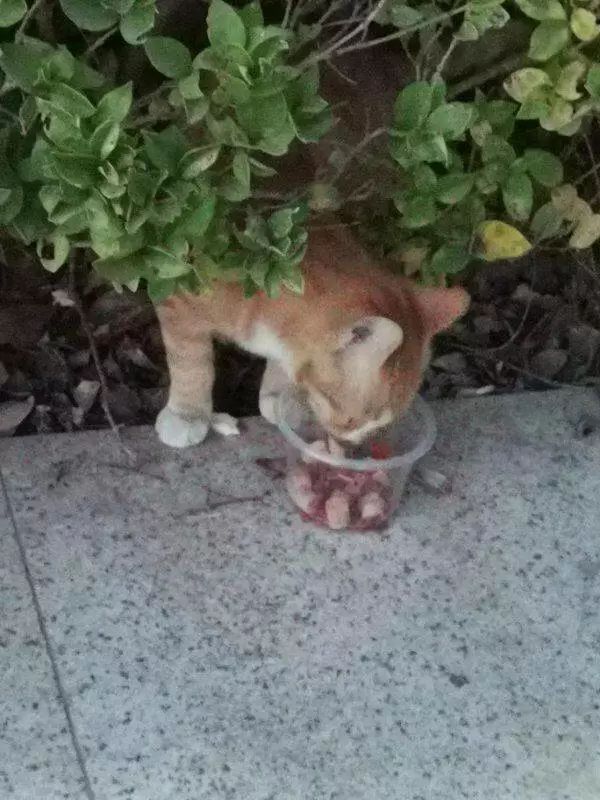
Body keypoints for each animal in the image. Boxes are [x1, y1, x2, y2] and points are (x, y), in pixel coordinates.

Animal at [155, 224, 469, 448]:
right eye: (351, 418)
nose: (350, 443)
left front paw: (282, 398)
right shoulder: (178, 292)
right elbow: (191, 363)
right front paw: (187, 413)